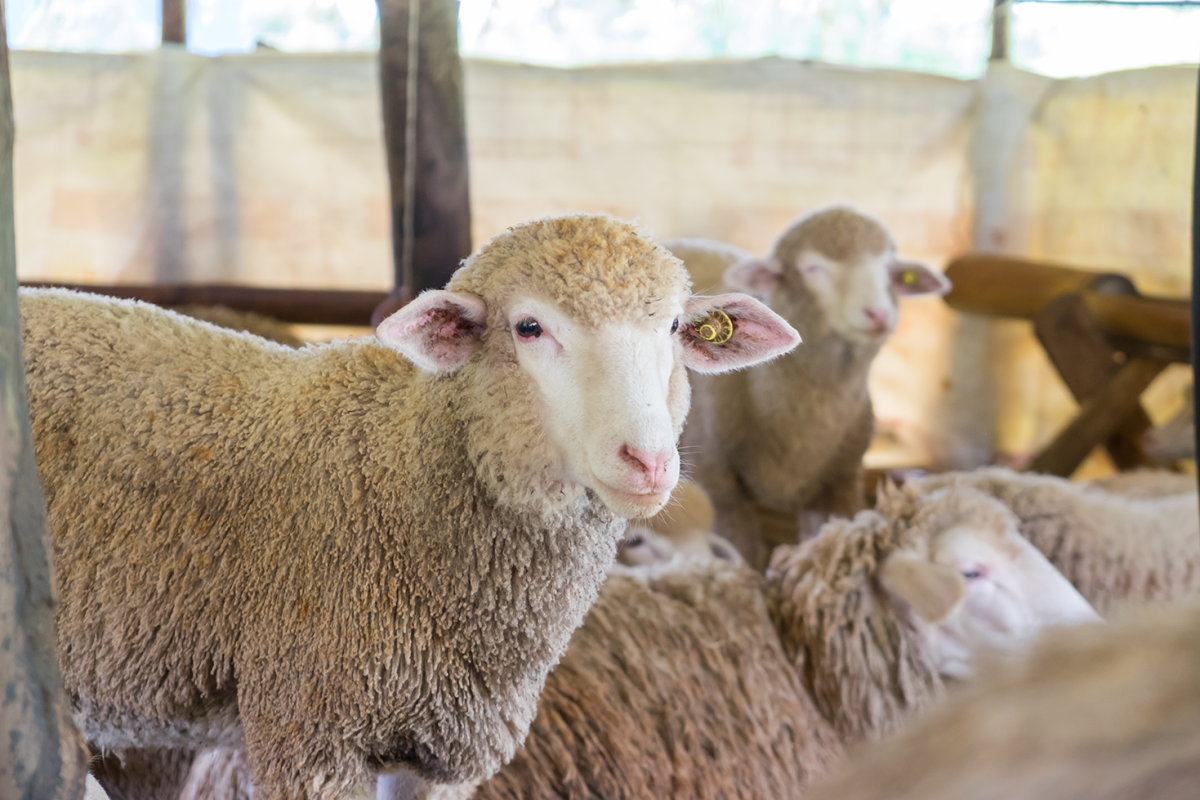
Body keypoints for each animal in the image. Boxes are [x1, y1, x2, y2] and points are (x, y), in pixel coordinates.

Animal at [21, 212, 806, 800]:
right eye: (529, 328)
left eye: (673, 328)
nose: (649, 462)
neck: (400, 473)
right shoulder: (308, 729)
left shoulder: (441, 749)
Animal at [667, 206, 945, 568]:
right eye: (813, 268)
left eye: (889, 268)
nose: (878, 313)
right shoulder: (719, 487)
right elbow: (744, 554)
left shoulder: (838, 485)